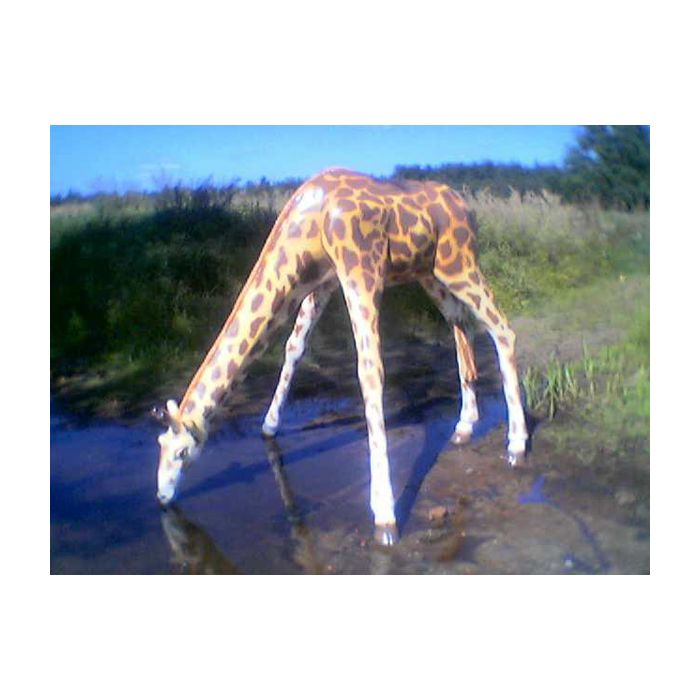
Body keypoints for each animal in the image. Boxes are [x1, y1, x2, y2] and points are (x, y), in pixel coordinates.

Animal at [155, 168, 528, 546]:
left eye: (182, 452)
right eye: (159, 445)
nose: (162, 497)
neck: (308, 219)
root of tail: (464, 206)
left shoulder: (361, 273)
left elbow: (370, 372)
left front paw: (385, 516)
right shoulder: (321, 282)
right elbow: (294, 347)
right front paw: (269, 426)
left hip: (460, 263)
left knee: (502, 329)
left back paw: (516, 445)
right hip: (430, 272)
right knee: (460, 324)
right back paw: (465, 426)